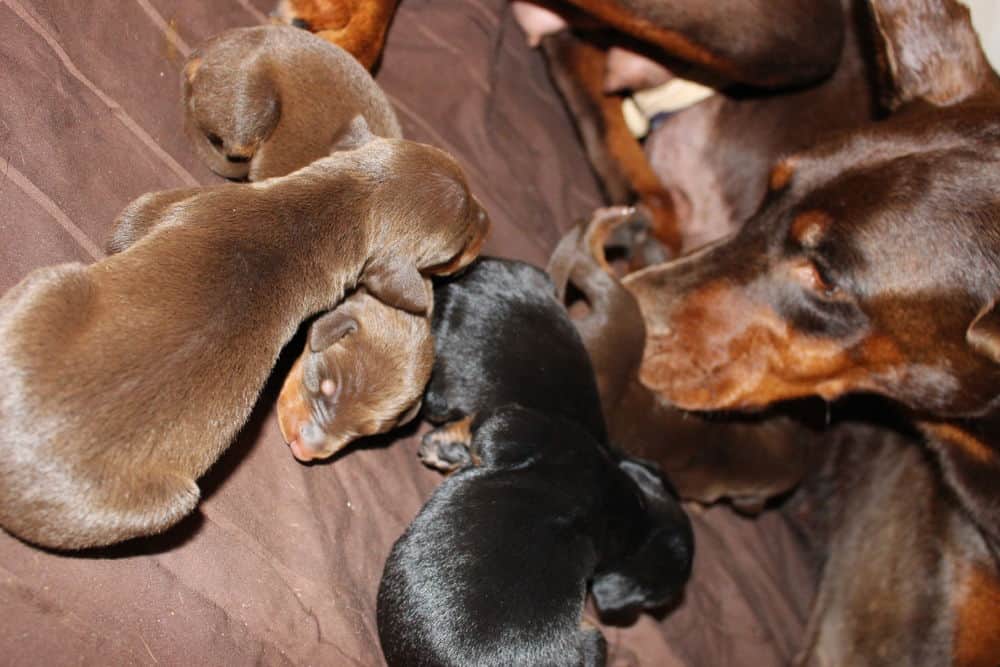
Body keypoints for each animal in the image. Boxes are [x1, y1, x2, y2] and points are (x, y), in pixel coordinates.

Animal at [0, 133, 488, 552]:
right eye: (461, 242)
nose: (488, 222)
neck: (338, 202)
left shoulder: (169, 203)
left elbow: (128, 221)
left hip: (169, 499)